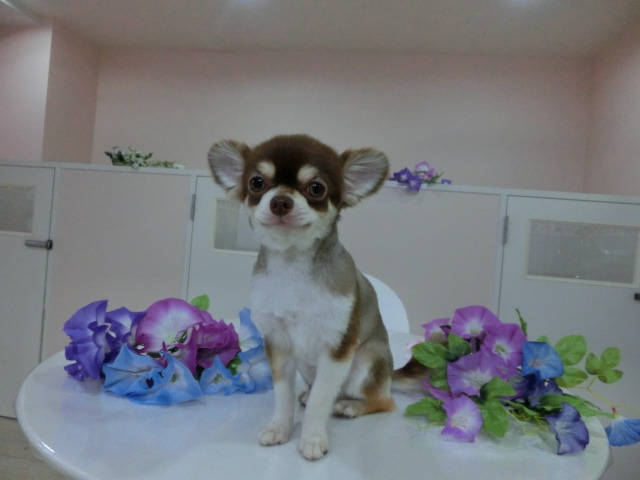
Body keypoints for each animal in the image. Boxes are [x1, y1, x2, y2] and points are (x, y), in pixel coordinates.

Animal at [208, 134, 397, 460]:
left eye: (316, 188)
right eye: (257, 183)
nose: (280, 201)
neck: (292, 265)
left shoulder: (337, 347)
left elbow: (323, 399)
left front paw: (312, 438)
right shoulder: (279, 344)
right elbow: (283, 394)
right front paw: (279, 428)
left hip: (366, 363)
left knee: (383, 401)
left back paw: (351, 405)